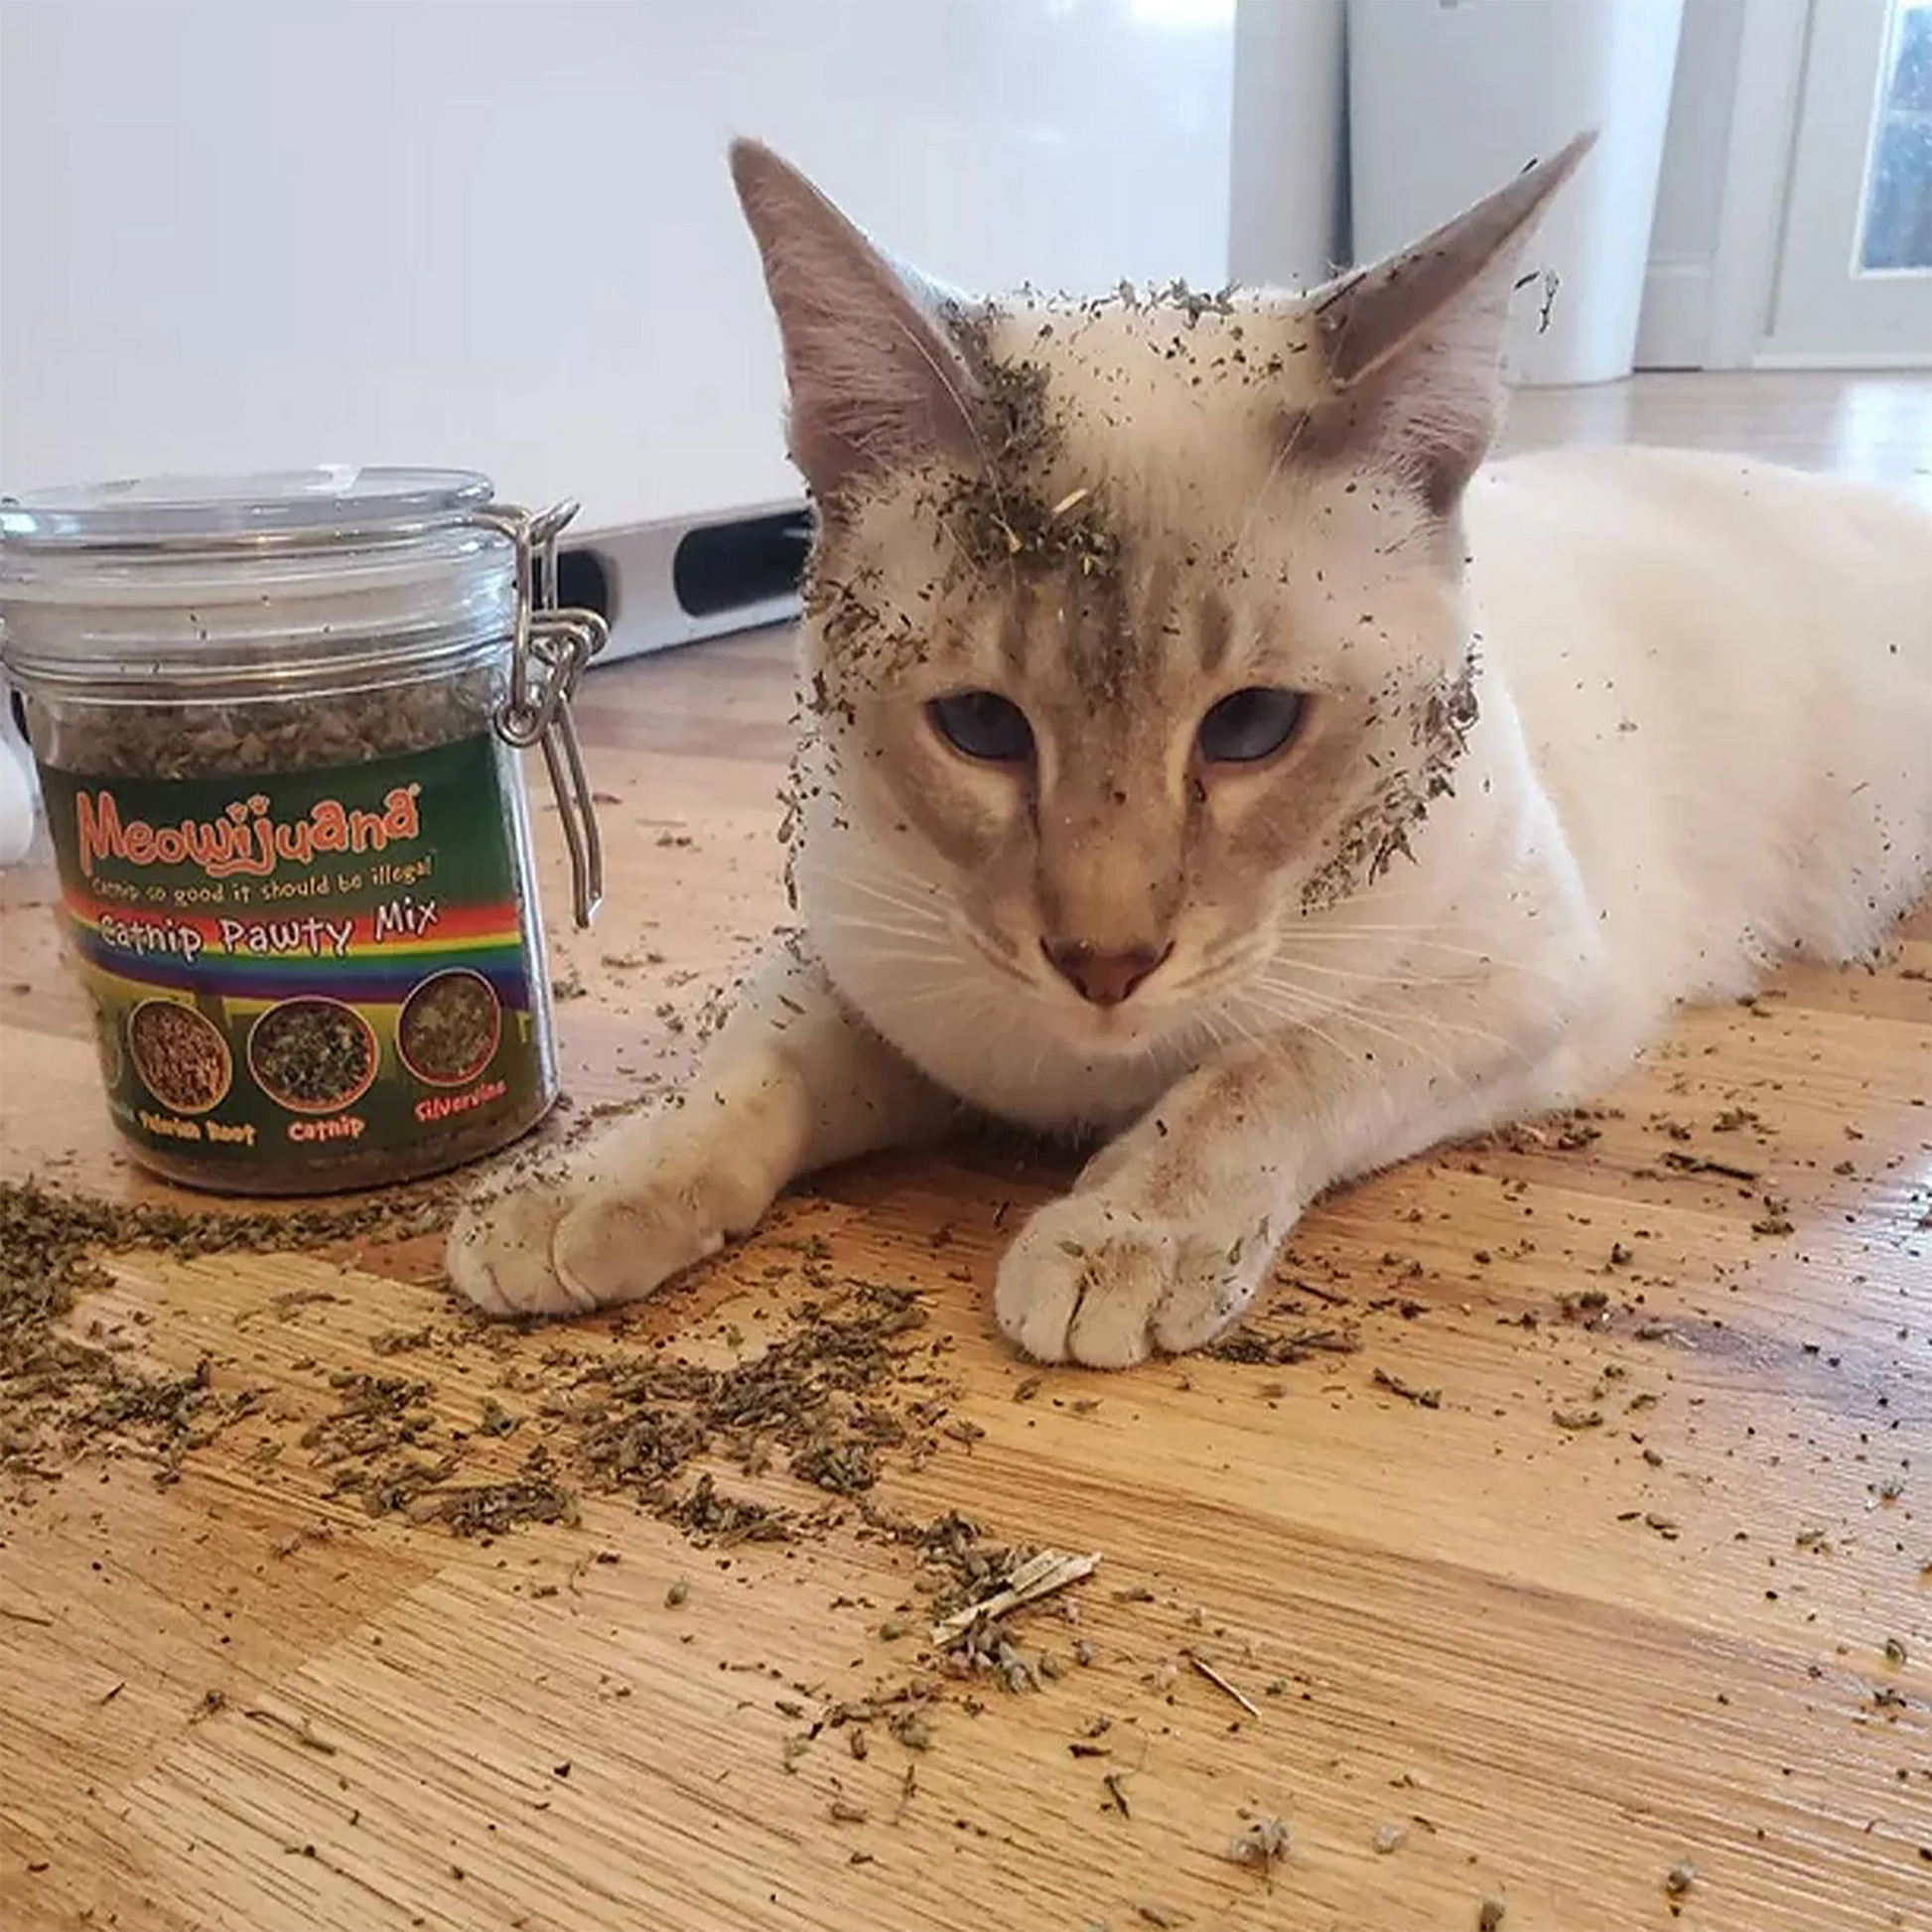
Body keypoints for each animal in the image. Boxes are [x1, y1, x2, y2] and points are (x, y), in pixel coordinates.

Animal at [444, 132, 1932, 1375]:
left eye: (1252, 729)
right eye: (981, 729)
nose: (1103, 963)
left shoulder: (1516, 986)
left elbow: (1260, 1071)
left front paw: (1120, 1240)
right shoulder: (866, 973)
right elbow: (740, 1077)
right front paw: (578, 1194)